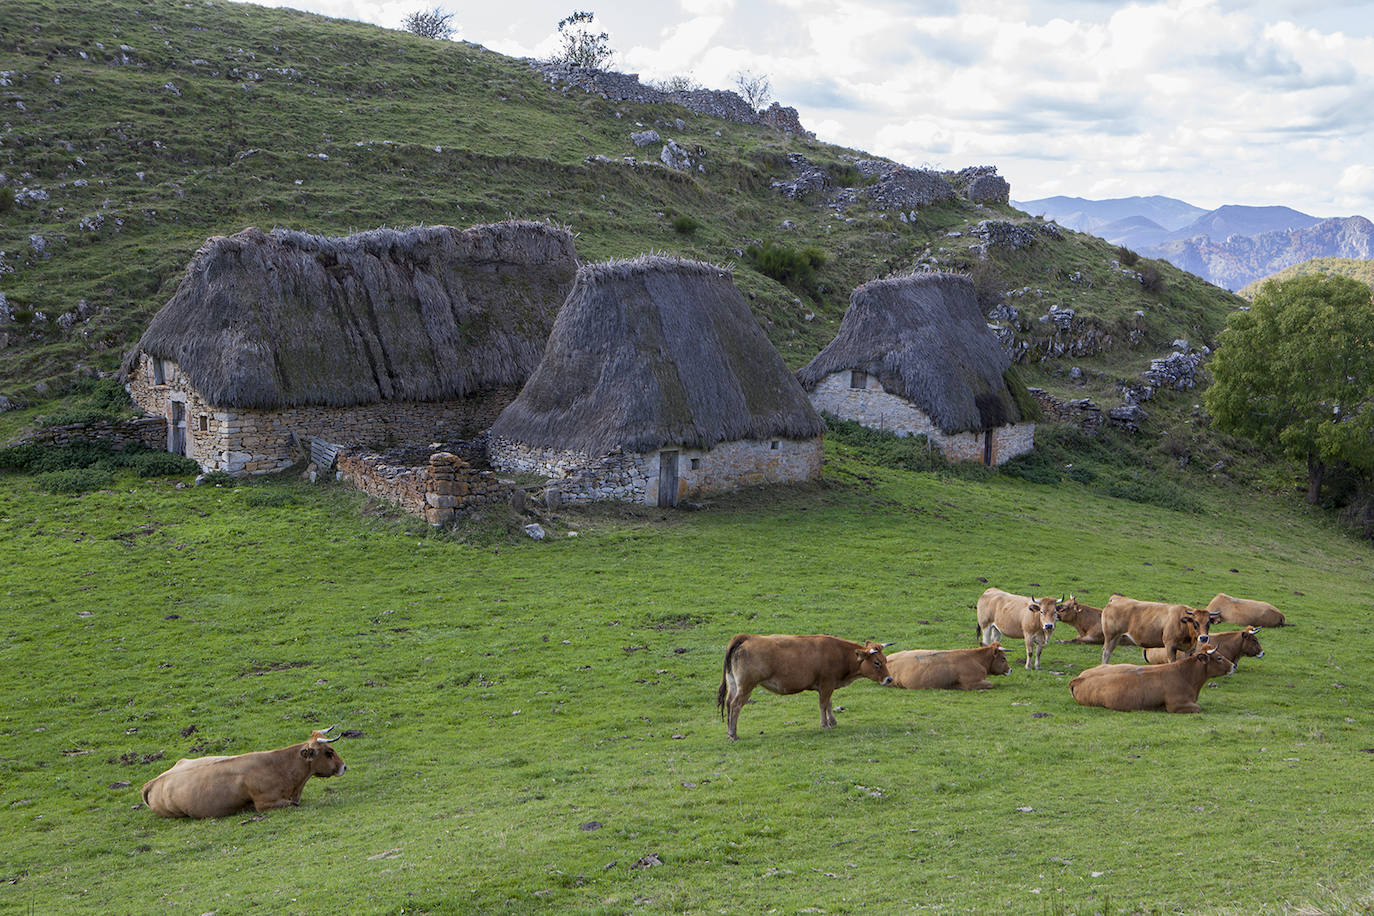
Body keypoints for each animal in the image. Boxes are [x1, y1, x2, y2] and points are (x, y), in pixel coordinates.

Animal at [714, 634, 895, 741]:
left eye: (885, 660)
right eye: (877, 662)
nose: (889, 679)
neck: (840, 653)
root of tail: (746, 638)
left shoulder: (828, 685)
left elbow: (829, 703)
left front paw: (833, 721)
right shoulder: (826, 684)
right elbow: (823, 704)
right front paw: (825, 724)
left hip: (734, 684)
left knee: (728, 703)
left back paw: (729, 732)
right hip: (746, 686)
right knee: (735, 705)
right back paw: (733, 734)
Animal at [879, 642, 1011, 692]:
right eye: (1003, 658)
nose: (1010, 669)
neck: (976, 659)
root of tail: (888, 659)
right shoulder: (971, 683)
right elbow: (990, 684)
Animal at [1066, 642, 1242, 714]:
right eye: (1219, 657)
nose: (1233, 666)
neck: (1185, 675)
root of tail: (1078, 679)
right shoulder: (1176, 705)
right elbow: (1198, 708)